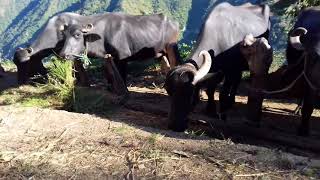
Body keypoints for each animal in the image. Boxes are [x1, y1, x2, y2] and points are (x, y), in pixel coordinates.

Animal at [13, 11, 181, 91]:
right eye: (16, 63)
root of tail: (172, 21)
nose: (19, 81)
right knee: (166, 66)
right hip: (160, 53)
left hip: (171, 48)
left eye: (25, 63)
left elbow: (120, 75)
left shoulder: (121, 57)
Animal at [164, 2, 272, 132]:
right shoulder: (216, 70)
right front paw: (209, 109)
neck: (218, 37)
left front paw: (221, 111)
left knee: (236, 82)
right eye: (168, 90)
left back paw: (230, 103)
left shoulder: (230, 69)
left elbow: (223, 91)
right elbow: (210, 89)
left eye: (190, 92)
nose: (174, 125)